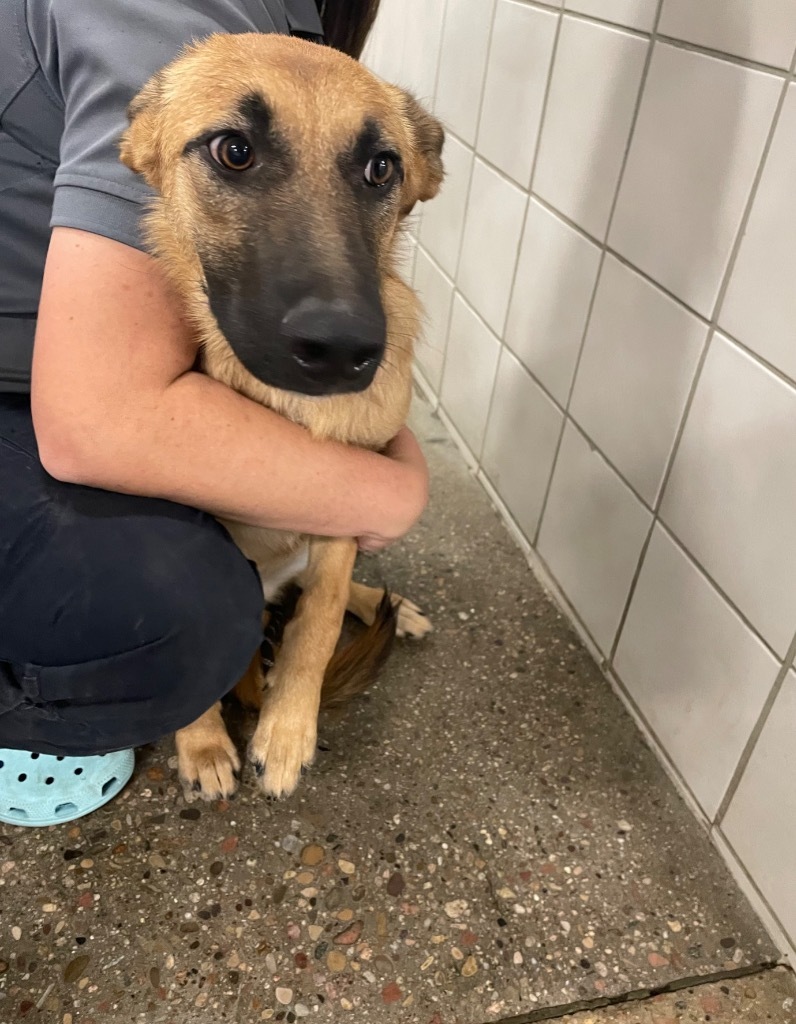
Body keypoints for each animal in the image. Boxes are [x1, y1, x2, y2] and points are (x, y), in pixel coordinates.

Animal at [120, 32, 444, 798]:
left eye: (381, 167)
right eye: (233, 151)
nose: (343, 349)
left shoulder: (347, 498)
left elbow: (319, 621)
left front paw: (289, 727)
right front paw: (204, 742)